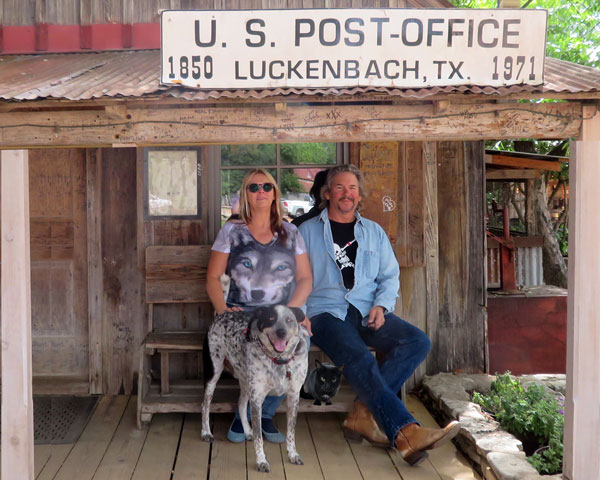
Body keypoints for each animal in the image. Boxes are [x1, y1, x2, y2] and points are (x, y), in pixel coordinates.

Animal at [202, 306, 310, 470]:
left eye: (289, 319)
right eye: (271, 318)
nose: (281, 332)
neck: (279, 361)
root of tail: (221, 315)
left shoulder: (293, 397)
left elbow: (291, 432)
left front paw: (293, 454)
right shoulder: (257, 399)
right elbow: (259, 436)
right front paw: (261, 461)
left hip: (246, 380)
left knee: (240, 404)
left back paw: (247, 431)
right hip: (214, 374)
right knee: (205, 404)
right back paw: (206, 432)